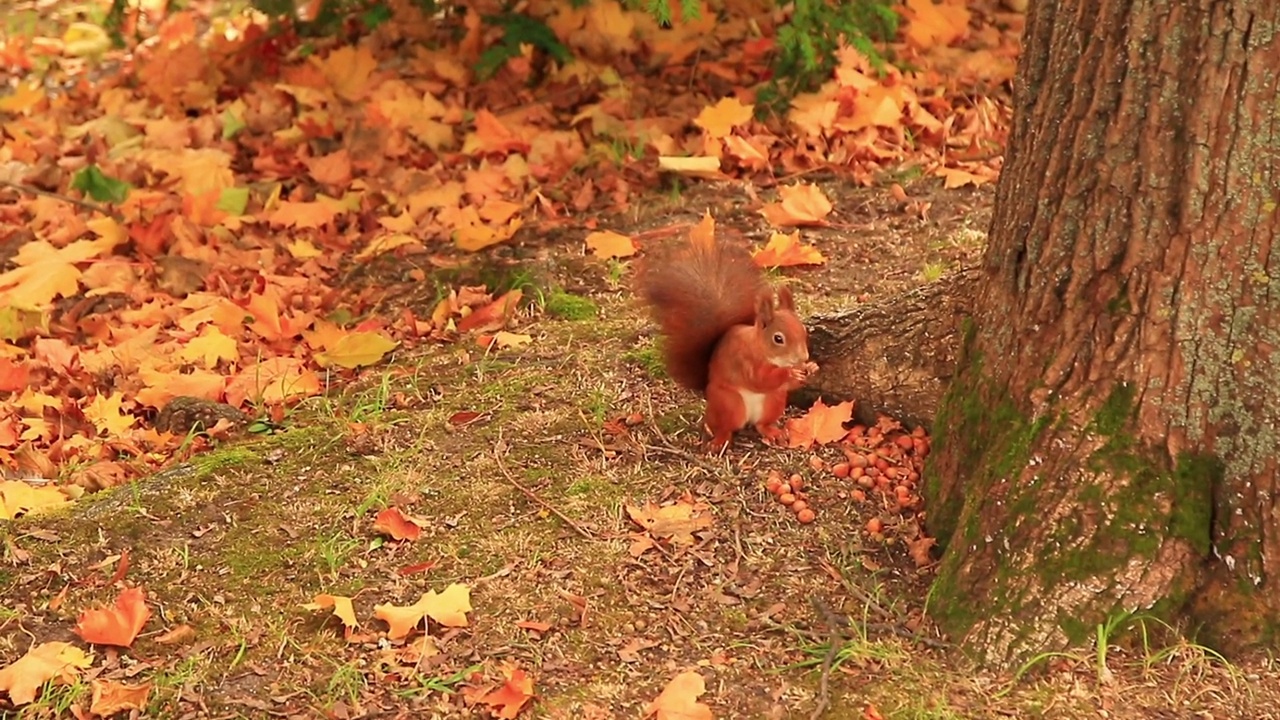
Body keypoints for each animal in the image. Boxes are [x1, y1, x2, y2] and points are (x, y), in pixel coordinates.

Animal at [632, 235, 819, 448]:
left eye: (803, 331)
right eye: (778, 338)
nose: (803, 357)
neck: (762, 350)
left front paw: (811, 367)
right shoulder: (743, 360)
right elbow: (759, 380)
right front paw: (790, 373)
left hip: (774, 401)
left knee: (762, 424)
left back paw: (772, 432)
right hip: (728, 404)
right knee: (724, 427)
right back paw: (719, 441)